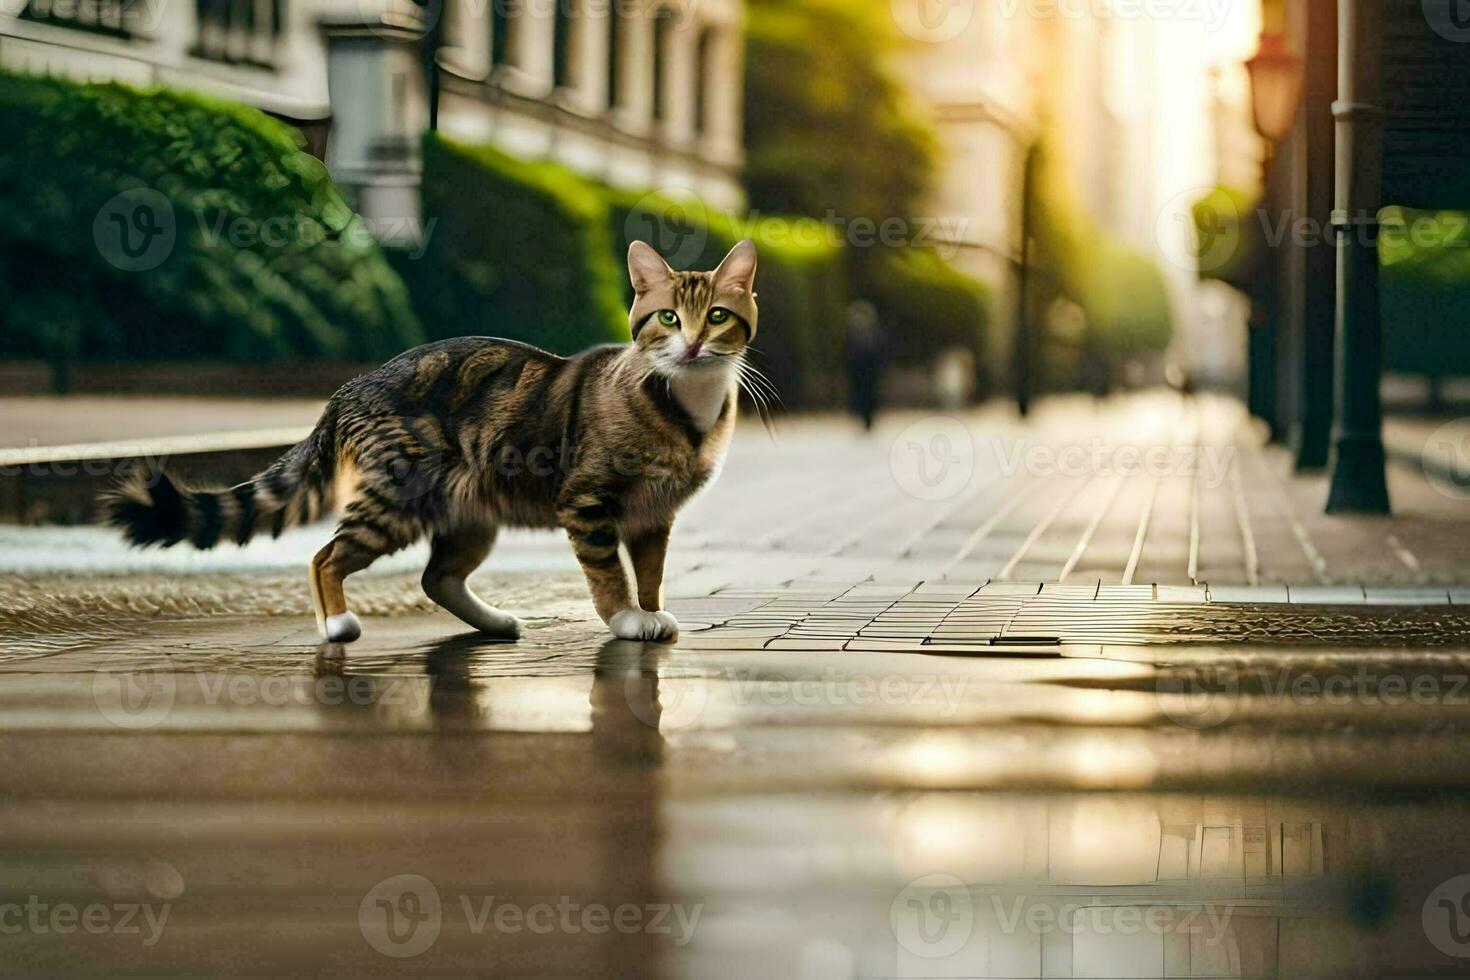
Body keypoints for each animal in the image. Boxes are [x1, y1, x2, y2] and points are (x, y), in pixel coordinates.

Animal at [106, 239, 758, 643]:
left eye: (717, 316)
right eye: (669, 318)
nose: (694, 344)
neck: (683, 404)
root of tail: (348, 386)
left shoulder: (654, 516)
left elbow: (649, 572)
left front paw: (649, 612)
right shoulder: (588, 502)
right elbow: (609, 574)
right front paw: (625, 619)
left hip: (471, 514)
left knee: (436, 578)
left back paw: (494, 623)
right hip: (397, 498)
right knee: (325, 558)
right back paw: (337, 625)